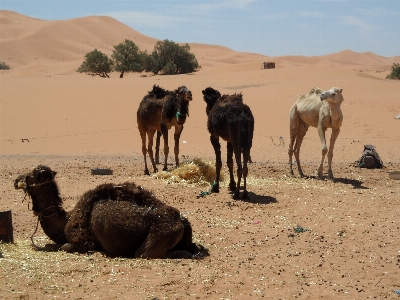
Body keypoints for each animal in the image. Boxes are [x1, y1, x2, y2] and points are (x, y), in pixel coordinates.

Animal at [14, 164, 209, 258]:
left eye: (31, 176)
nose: (16, 180)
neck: (66, 219)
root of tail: (181, 220)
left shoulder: (82, 243)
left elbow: (60, 246)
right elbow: (50, 245)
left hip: (157, 238)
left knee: (146, 253)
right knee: (196, 247)